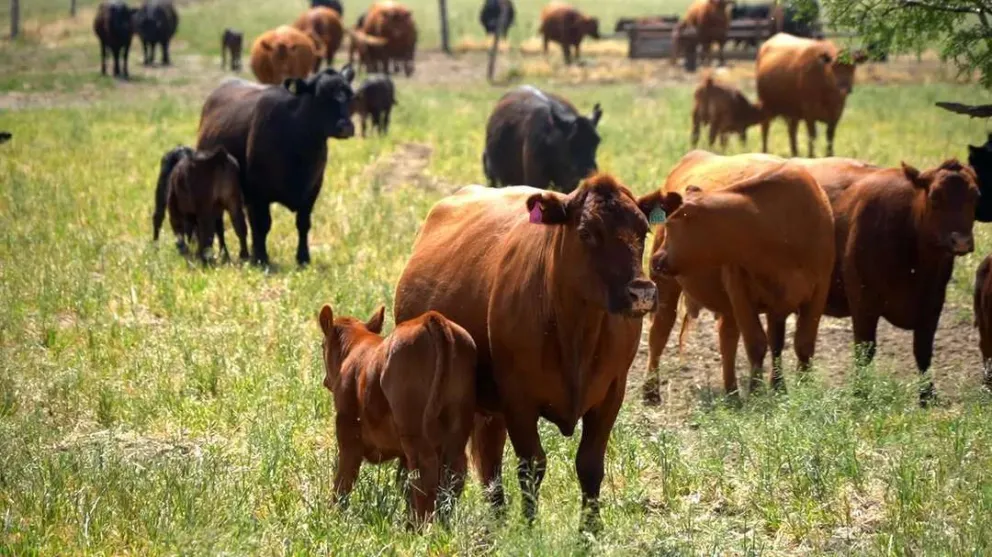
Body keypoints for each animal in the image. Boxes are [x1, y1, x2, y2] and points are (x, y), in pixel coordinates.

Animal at [196, 67, 356, 266]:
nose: (346, 126)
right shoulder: (257, 194)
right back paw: (226, 254)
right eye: (321, 96)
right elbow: (262, 225)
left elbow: (303, 224)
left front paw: (303, 258)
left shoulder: (312, 189)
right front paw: (261, 258)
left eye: (350, 95)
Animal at [318, 305, 476, 524]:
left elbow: (343, 480)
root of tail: (431, 318)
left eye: (321, 345)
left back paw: (423, 526)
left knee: (424, 475)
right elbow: (403, 484)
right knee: (453, 474)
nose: (326, 380)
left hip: (414, 430)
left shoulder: (347, 432)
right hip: (457, 429)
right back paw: (440, 524)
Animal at [393, 173, 663, 531]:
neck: (577, 330)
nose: (642, 292)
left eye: (643, 231)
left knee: (489, 455)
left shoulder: (611, 393)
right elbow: (532, 464)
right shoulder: (517, 398)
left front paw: (590, 530)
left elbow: (590, 463)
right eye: (586, 233)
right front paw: (530, 526)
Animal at [643, 151, 835, 400]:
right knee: (659, 332)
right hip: (666, 287)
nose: (656, 259)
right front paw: (756, 392)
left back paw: (732, 393)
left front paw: (795, 387)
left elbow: (799, 343)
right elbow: (757, 343)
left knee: (728, 338)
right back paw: (650, 391)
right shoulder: (741, 293)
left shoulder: (816, 291)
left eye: (672, 226)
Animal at [794, 158, 979, 403]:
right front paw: (860, 393)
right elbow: (865, 350)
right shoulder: (862, 300)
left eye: (975, 195)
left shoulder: (933, 302)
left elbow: (923, 349)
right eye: (935, 196)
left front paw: (927, 396)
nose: (961, 242)